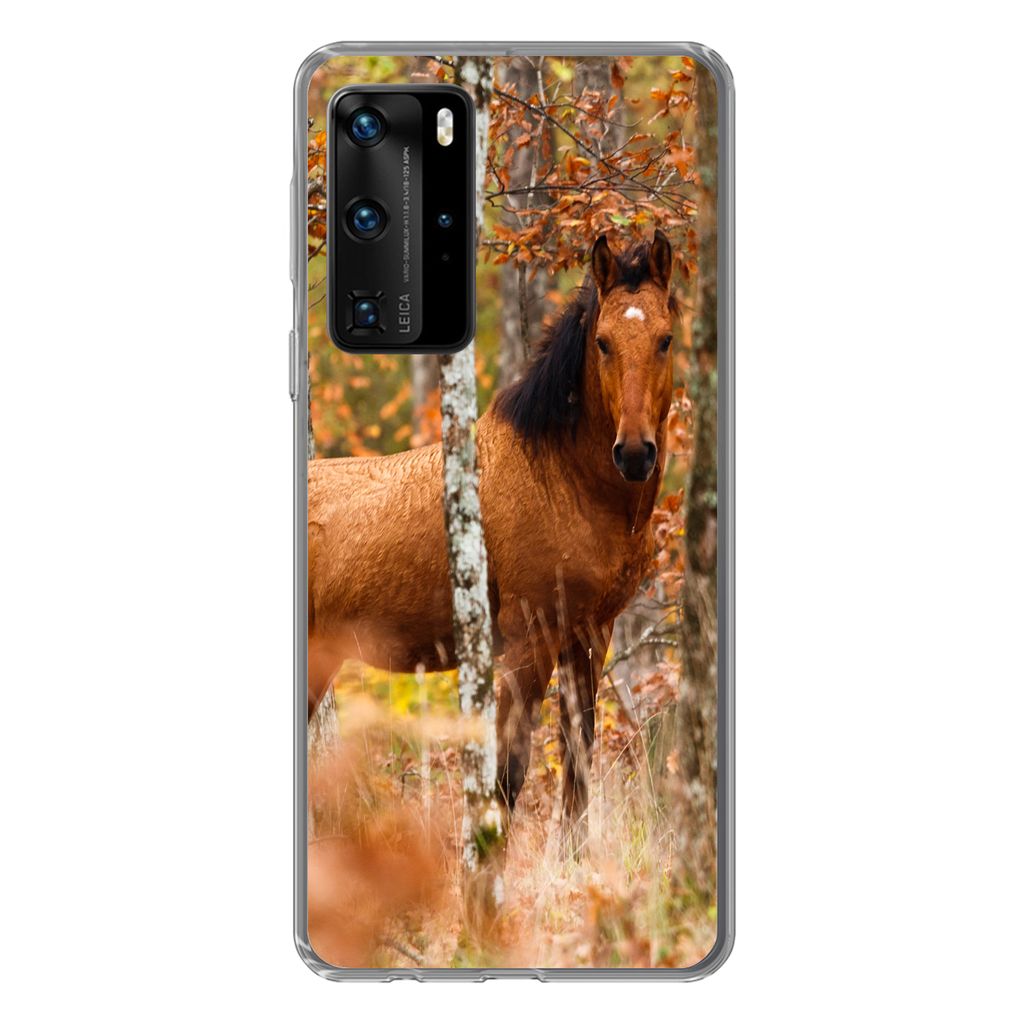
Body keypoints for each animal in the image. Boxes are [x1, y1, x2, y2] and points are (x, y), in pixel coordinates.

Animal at [308, 230, 677, 851]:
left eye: (666, 339)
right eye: (603, 342)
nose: (633, 453)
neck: (564, 481)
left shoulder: (589, 636)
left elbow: (577, 768)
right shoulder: (528, 641)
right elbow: (507, 777)